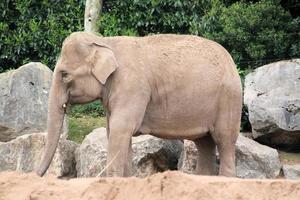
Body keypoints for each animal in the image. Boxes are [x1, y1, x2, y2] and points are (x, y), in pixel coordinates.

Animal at [36, 32, 243, 177]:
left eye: (64, 75)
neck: (105, 42)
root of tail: (232, 63)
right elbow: (116, 133)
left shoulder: (132, 88)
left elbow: (120, 129)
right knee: (205, 142)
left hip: (229, 99)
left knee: (224, 140)